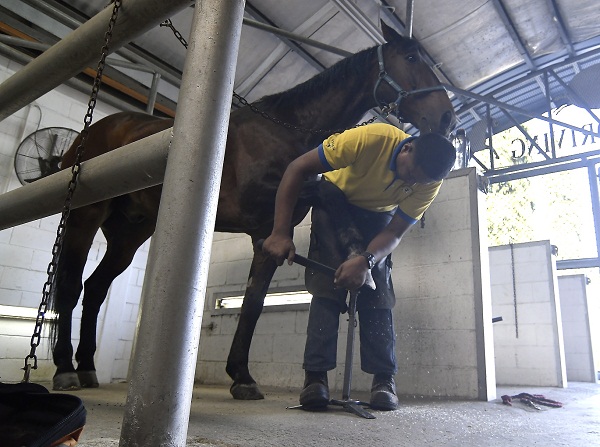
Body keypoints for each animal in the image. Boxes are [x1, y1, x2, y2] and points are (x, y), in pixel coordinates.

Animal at [51, 21, 454, 400]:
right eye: (412, 58)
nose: (447, 118)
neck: (284, 129)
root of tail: (90, 134)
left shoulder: (267, 234)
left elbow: (254, 304)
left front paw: (242, 377)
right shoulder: (258, 202)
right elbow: (325, 190)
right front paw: (355, 250)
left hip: (129, 235)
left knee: (95, 288)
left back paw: (87, 368)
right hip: (84, 218)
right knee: (71, 285)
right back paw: (65, 370)